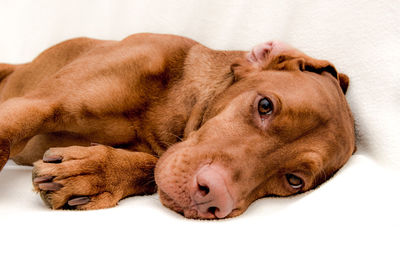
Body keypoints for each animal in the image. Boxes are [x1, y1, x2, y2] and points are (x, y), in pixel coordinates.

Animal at [0, 33, 356, 219]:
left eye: (294, 180)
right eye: (265, 106)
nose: (213, 199)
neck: (170, 98)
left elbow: (150, 165)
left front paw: (95, 172)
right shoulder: (38, 104)